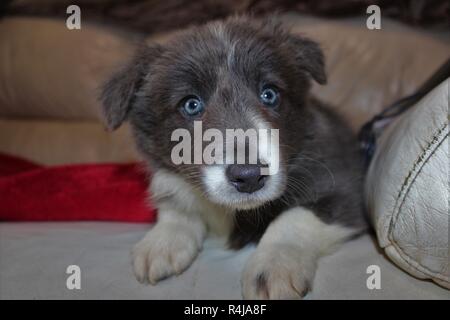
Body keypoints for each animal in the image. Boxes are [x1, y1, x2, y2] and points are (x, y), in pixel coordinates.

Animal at [102, 16, 370, 298]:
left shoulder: (345, 188)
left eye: (269, 94)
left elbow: (294, 218)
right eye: (191, 105)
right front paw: (162, 241)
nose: (249, 176)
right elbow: (177, 208)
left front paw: (274, 264)